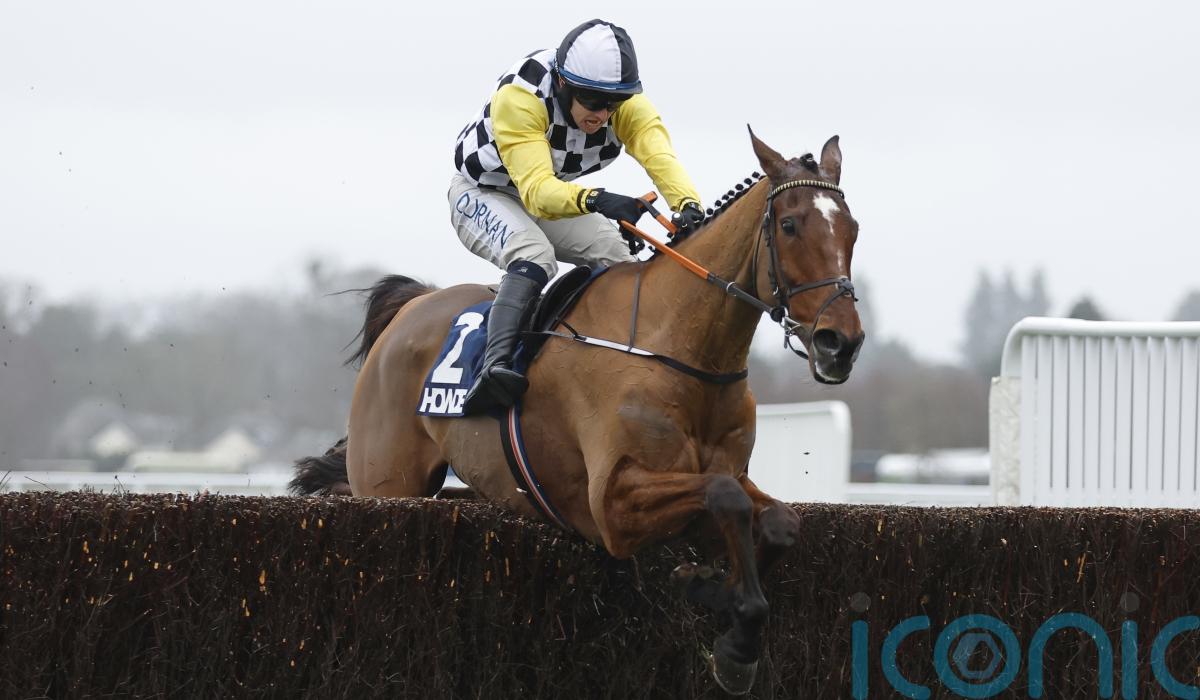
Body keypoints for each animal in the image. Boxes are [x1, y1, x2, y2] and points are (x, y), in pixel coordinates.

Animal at [292, 130, 864, 695]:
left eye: (852, 230)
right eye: (789, 225)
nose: (841, 343)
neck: (680, 348)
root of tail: (413, 305)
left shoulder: (720, 477)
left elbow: (779, 519)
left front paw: (723, 608)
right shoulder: (613, 506)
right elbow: (728, 499)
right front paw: (729, 622)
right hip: (388, 484)